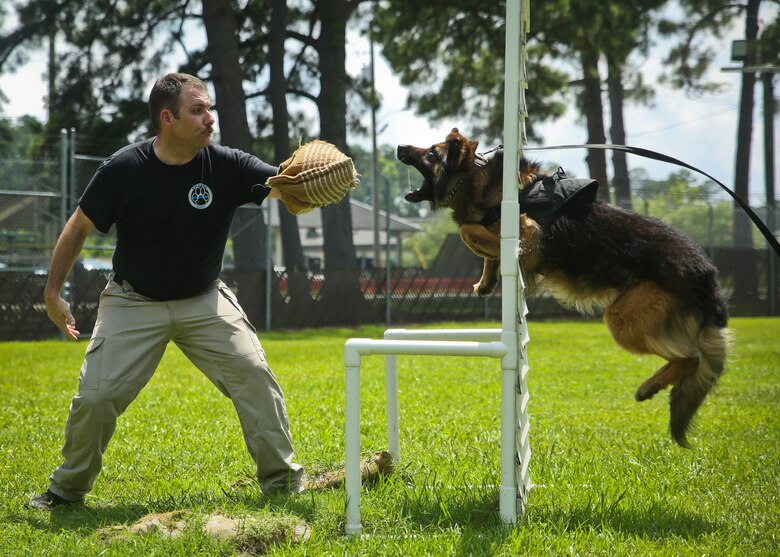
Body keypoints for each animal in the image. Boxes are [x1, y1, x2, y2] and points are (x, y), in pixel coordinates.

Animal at [400, 128, 728, 446]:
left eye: (432, 153)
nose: (400, 147)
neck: (474, 180)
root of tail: (706, 272)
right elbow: (476, 237)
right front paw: (486, 281)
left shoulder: (528, 232)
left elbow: (468, 232)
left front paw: (491, 255)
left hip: (625, 318)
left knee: (691, 358)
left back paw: (651, 385)